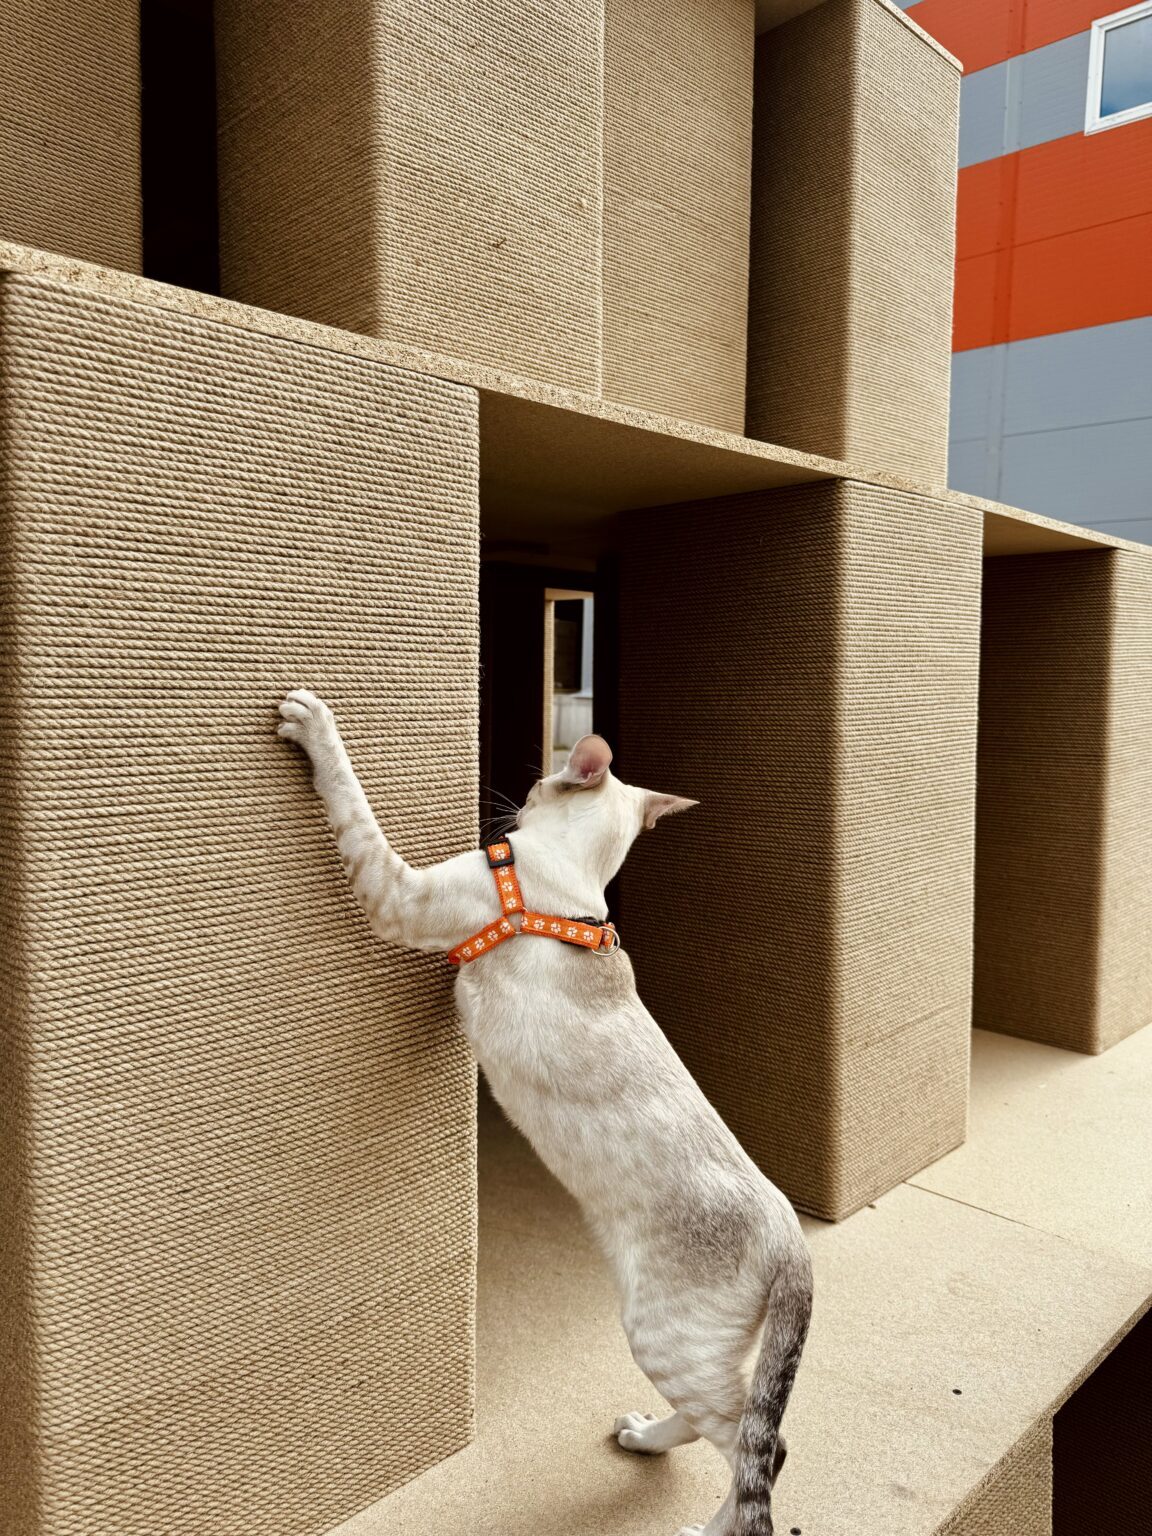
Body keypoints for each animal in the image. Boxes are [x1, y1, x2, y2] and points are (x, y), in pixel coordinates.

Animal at [278, 694, 811, 1536]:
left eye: (532, 784)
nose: (509, 804)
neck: (571, 887)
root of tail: (796, 1245)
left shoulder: (399, 894)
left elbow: (348, 796)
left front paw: (309, 719)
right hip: (689, 1350)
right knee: (724, 1429)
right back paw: (641, 1436)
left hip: (666, 1336)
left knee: (763, 1448)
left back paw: (704, 1526)